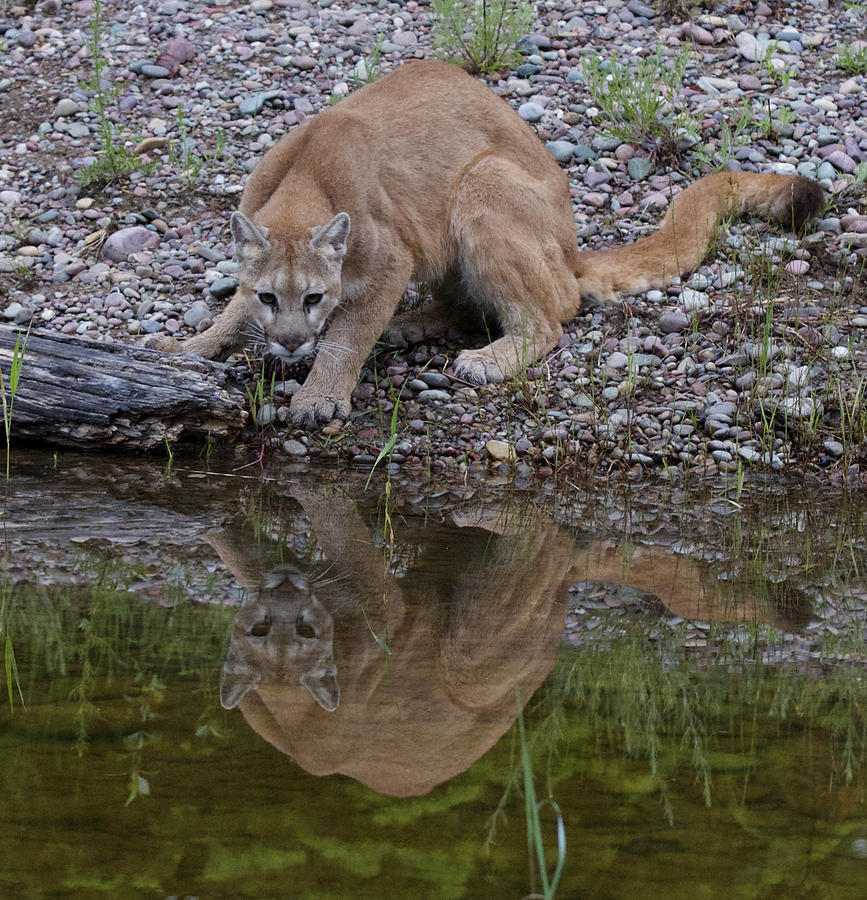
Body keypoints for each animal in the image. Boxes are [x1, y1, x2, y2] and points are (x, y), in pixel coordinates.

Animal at [146, 59, 824, 426]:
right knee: (469, 302)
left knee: (552, 316)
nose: (289, 343)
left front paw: (318, 396)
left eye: (313, 299)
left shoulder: (390, 259)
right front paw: (186, 348)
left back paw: (487, 358)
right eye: (270, 298)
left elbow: (348, 336)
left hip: (482, 182)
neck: (306, 178)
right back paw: (411, 324)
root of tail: (572, 248)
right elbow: (231, 311)